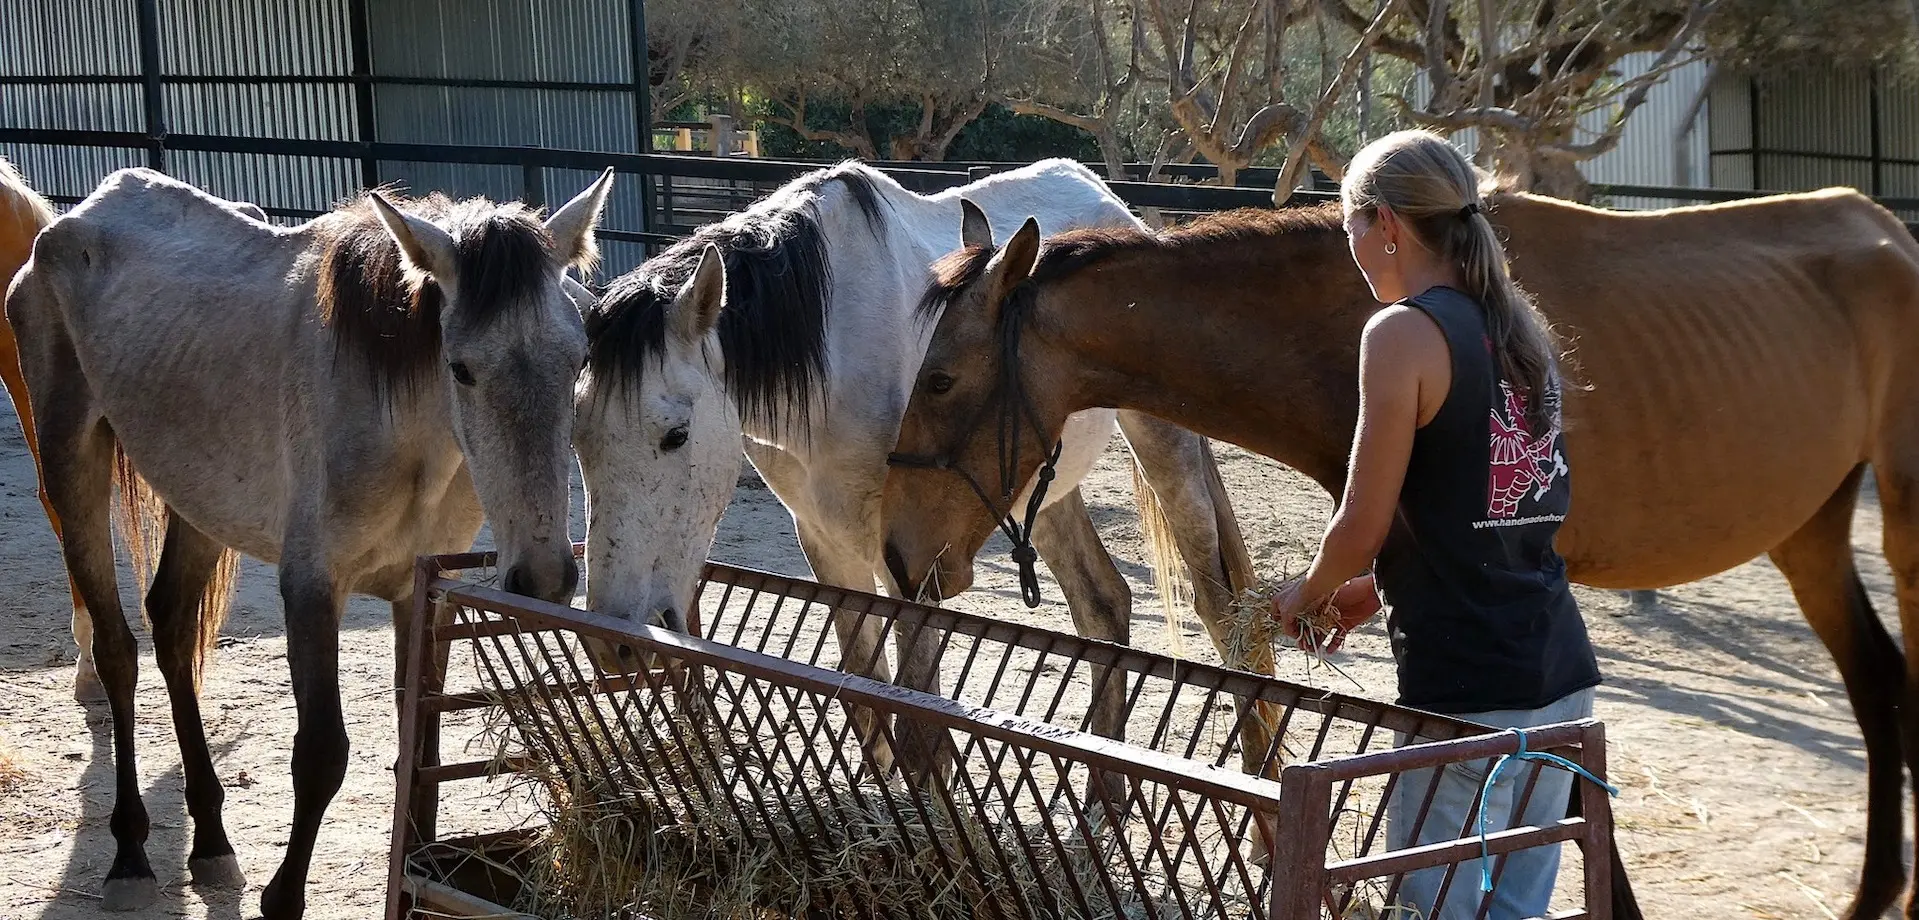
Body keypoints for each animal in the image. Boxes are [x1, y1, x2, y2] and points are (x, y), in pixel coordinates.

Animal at [6, 166, 611, 919]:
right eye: (463, 368)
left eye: (579, 359)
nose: (546, 578)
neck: (398, 418)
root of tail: (75, 217)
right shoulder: (312, 586)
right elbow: (322, 755)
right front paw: (283, 894)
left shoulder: (421, 594)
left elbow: (421, 744)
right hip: (69, 459)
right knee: (118, 651)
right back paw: (131, 853)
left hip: (198, 500)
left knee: (172, 629)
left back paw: (211, 840)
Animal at [573, 159, 1282, 783]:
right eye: (577, 438)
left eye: (675, 435)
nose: (617, 640)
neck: (831, 347)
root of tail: (1110, 202)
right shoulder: (828, 541)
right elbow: (868, 696)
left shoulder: (907, 560)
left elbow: (921, 729)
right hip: (1033, 482)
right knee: (1103, 604)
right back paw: (1103, 805)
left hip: (1162, 444)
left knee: (1222, 610)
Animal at [880, 190, 1919, 920]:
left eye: (940, 379)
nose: (895, 552)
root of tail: (1886, 232)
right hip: (1808, 528)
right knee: (1874, 679)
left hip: (1899, 527)